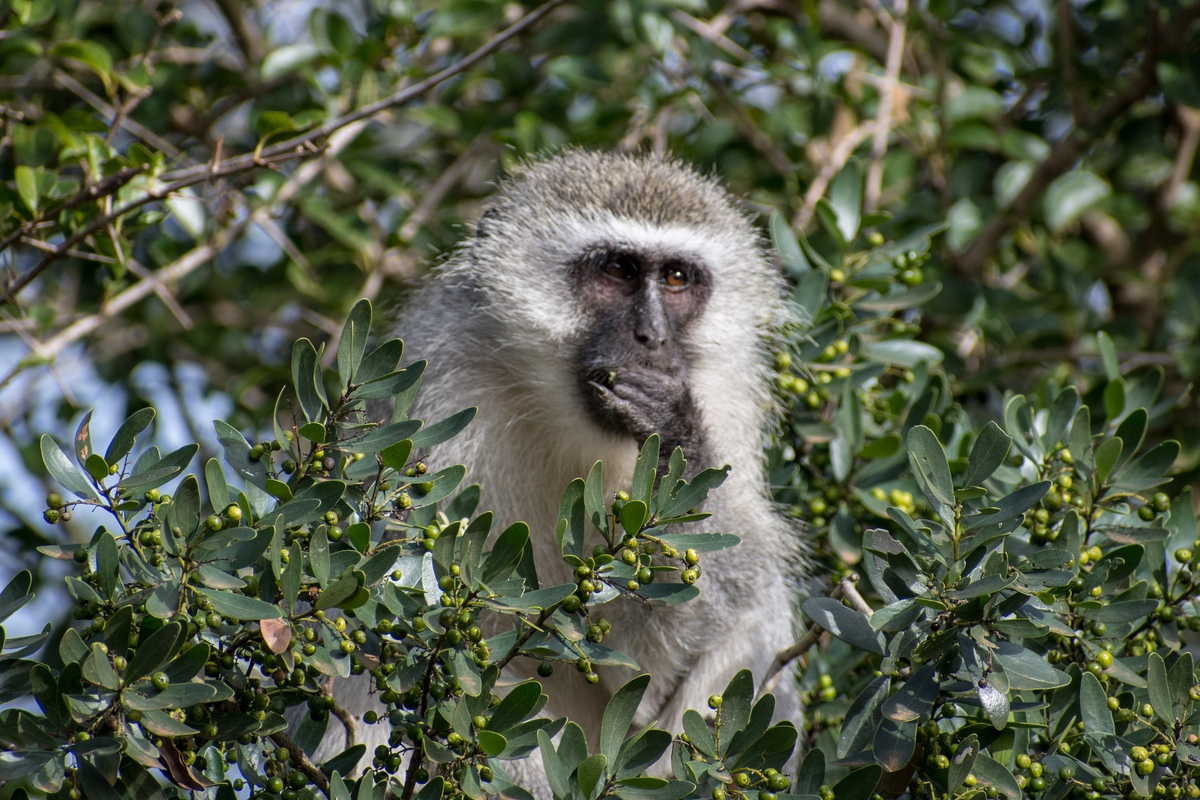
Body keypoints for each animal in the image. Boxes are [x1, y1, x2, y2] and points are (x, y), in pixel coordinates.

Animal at [314, 150, 804, 794]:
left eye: (677, 278)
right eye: (618, 269)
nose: (652, 337)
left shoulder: (723, 404)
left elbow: (650, 659)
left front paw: (671, 432)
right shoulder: (432, 398)